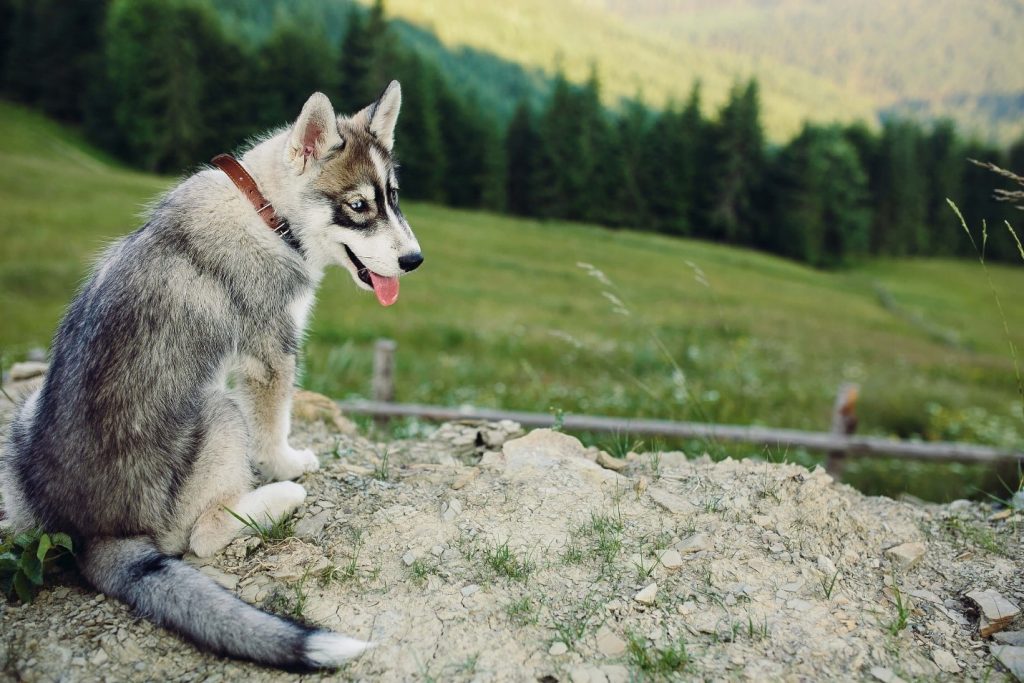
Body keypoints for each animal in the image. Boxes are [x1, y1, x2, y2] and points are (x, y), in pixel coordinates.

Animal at [1, 82, 419, 671]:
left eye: (394, 197)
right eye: (357, 206)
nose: (415, 260)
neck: (265, 209)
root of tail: (93, 533)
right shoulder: (270, 355)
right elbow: (273, 431)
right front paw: (288, 463)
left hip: (24, 416)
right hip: (219, 410)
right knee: (205, 534)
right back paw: (281, 496)